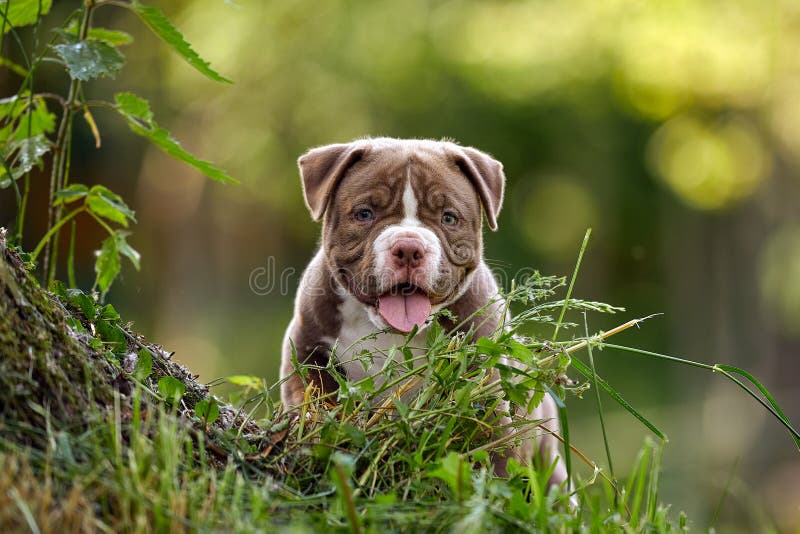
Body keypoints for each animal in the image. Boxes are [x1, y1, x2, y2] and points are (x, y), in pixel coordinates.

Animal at [282, 137, 568, 490]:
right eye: (364, 214)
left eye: (449, 218)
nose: (408, 248)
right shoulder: (306, 349)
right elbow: (313, 400)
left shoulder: (483, 380)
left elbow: (495, 443)